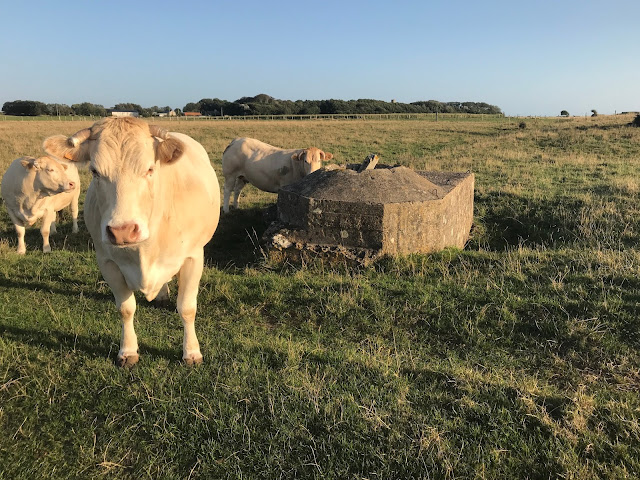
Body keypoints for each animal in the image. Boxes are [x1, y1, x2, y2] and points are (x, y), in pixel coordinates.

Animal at [43, 117, 220, 366]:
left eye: (150, 169)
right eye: (95, 171)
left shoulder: (194, 256)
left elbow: (187, 307)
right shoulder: (107, 261)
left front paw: (191, 352)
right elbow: (126, 309)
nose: (122, 231)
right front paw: (128, 351)